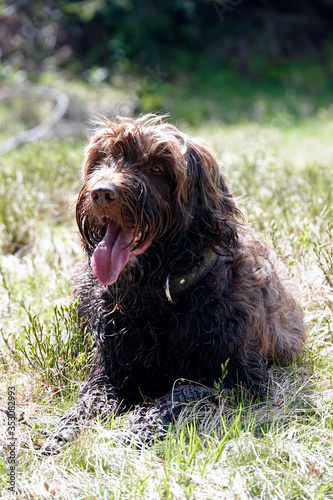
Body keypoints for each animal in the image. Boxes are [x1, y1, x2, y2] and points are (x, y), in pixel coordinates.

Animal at [42, 115, 304, 452]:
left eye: (157, 167)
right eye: (102, 159)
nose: (101, 193)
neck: (156, 298)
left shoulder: (245, 382)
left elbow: (184, 392)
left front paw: (141, 427)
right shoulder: (109, 371)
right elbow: (90, 399)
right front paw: (66, 431)